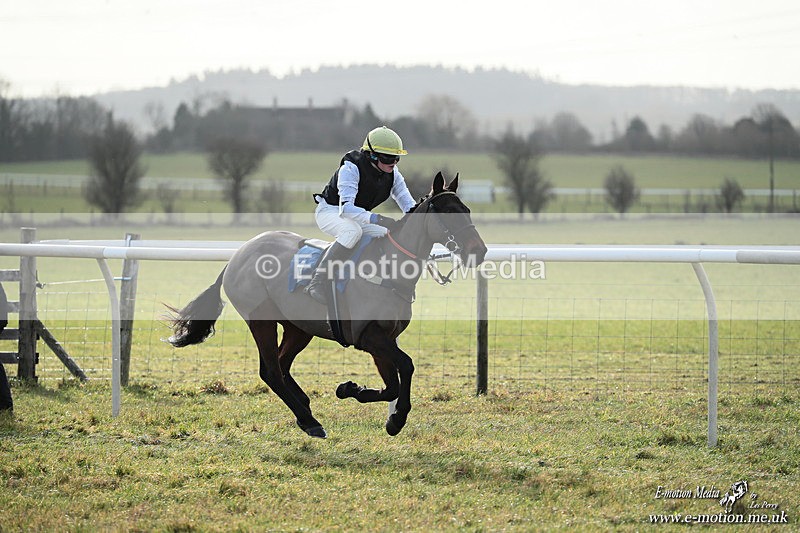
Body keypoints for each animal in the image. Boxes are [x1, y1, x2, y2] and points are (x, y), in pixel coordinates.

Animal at [166, 172, 487, 438]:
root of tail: (237, 255)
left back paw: (305, 408)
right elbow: (406, 367)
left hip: (299, 327)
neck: (387, 269)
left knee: (282, 364)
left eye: (467, 210)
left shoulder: (384, 338)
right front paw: (395, 418)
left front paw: (354, 391)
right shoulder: (369, 336)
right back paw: (309, 421)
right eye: (448, 212)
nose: (479, 250)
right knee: (271, 371)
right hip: (261, 320)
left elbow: (392, 384)